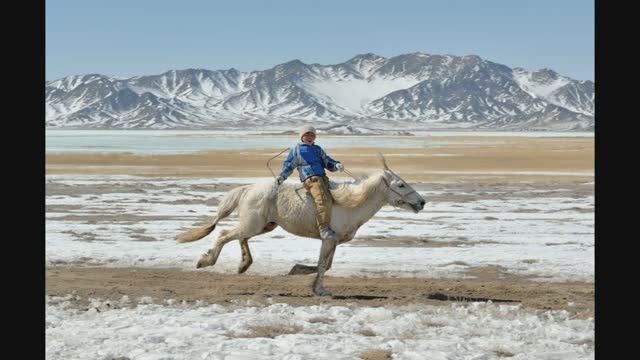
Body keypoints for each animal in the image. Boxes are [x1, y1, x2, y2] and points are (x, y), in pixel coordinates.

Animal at [176, 156, 424, 296]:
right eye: (401, 185)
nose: (422, 202)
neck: (351, 203)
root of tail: (247, 189)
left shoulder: (333, 241)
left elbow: (326, 265)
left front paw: (300, 273)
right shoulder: (328, 238)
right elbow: (323, 265)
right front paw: (320, 290)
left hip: (263, 226)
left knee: (239, 237)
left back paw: (244, 264)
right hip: (252, 225)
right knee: (224, 234)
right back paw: (205, 261)